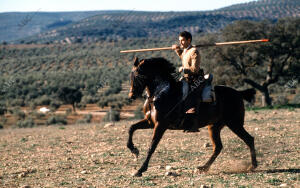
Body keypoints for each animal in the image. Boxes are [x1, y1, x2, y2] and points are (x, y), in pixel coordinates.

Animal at [127, 57, 256, 176]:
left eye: (138, 76)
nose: (131, 96)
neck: (161, 93)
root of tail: (239, 93)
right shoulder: (150, 122)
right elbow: (132, 128)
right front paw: (134, 150)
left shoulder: (161, 125)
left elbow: (152, 146)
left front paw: (140, 170)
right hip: (214, 127)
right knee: (218, 147)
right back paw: (203, 168)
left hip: (234, 124)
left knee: (248, 139)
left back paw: (253, 166)